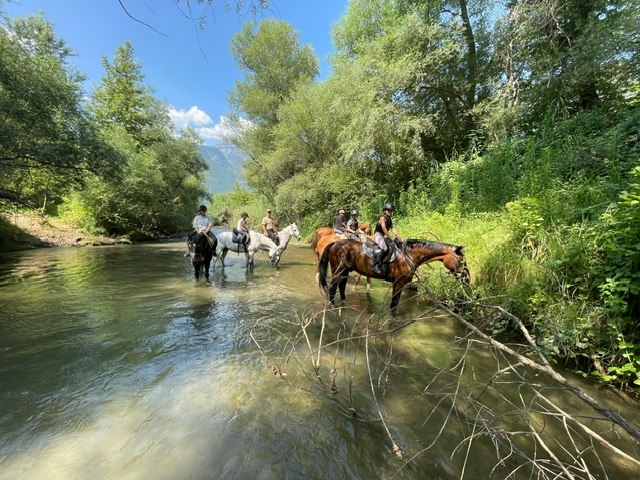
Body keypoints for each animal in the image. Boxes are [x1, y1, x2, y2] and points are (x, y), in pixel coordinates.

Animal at [316, 239, 470, 316]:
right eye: (461, 261)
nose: (468, 279)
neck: (409, 256)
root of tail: (335, 243)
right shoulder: (398, 283)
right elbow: (394, 304)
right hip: (338, 270)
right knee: (332, 288)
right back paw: (332, 306)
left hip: (346, 271)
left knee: (341, 287)